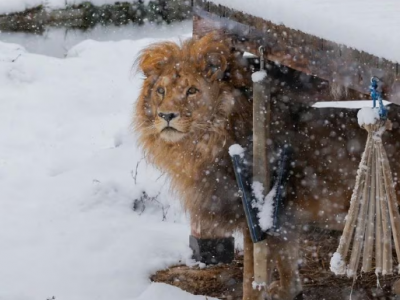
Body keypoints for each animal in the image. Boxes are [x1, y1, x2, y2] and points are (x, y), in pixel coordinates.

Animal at [134, 33, 400, 300]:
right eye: (160, 91)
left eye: (192, 91)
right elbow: (287, 264)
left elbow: (252, 278)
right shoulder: (284, 219)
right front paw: (287, 291)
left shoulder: (254, 218)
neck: (205, 142)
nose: (166, 115)